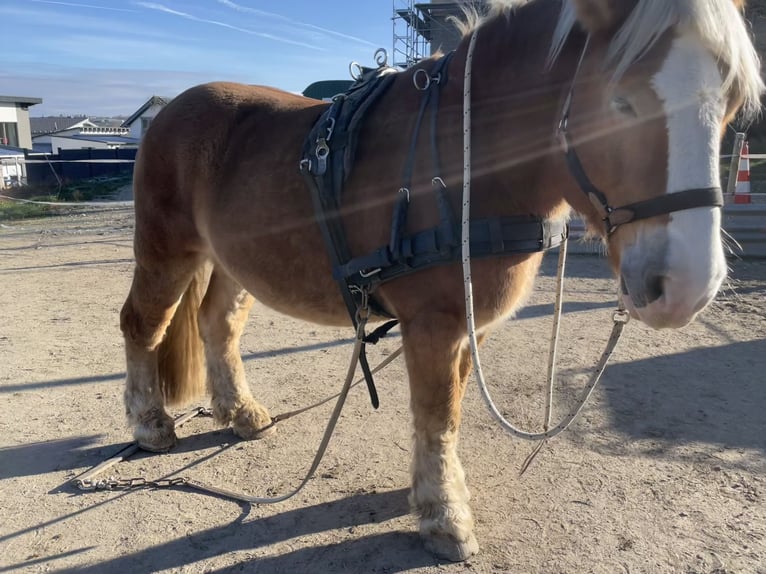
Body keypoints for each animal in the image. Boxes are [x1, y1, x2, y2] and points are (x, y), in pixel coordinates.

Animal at [119, 0, 763, 562]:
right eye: (622, 102)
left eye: (733, 106)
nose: (687, 286)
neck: (466, 156)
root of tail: (172, 108)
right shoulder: (432, 322)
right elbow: (436, 412)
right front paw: (444, 515)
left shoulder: (467, 324)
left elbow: (449, 411)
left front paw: (436, 488)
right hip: (167, 249)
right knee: (142, 324)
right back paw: (151, 424)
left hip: (232, 259)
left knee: (217, 323)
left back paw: (239, 411)